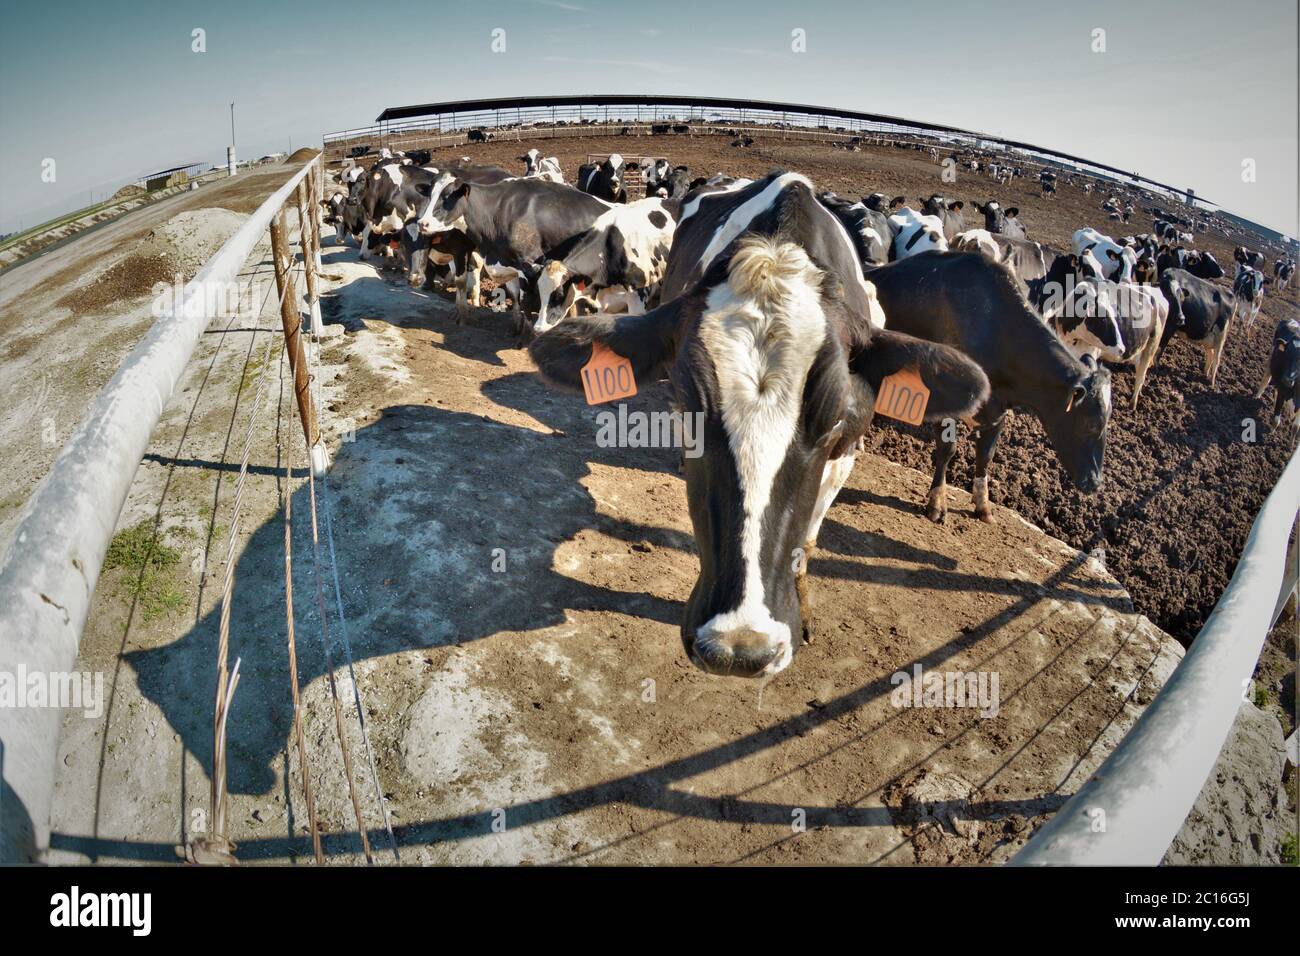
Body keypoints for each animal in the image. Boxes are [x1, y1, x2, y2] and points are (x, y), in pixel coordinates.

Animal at [868, 251, 1112, 522]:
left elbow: (985, 456)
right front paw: (937, 503)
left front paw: (982, 505)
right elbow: (947, 449)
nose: (1095, 482)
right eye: (1092, 424)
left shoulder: (999, 410)